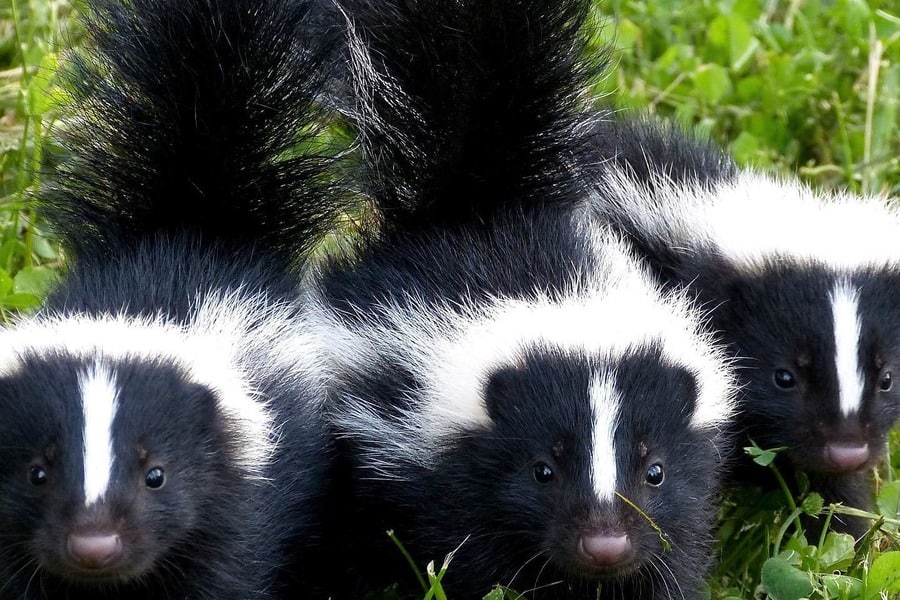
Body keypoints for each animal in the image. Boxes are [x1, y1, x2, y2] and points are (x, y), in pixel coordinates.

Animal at [0, 0, 344, 596]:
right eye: (36, 472)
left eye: (155, 475)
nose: (94, 547)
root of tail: (196, 212)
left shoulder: (239, 504)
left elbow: (224, 575)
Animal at [310, 0, 740, 596]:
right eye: (542, 471)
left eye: (655, 471)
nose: (605, 546)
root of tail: (473, 202)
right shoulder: (441, 471)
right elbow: (470, 554)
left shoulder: (687, 492)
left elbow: (671, 554)